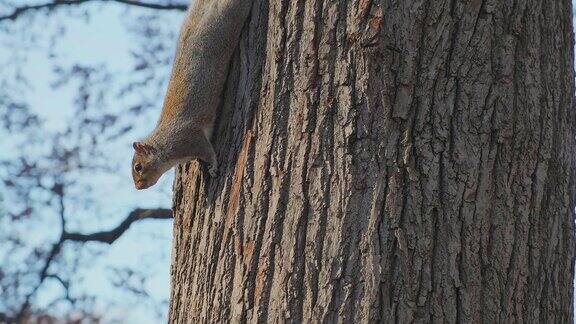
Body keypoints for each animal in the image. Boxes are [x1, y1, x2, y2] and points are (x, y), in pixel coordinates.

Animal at [133, 0, 254, 190]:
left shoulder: (189, 139)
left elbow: (209, 152)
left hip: (230, 17)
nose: (138, 187)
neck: (163, 142)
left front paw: (213, 167)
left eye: (138, 167)